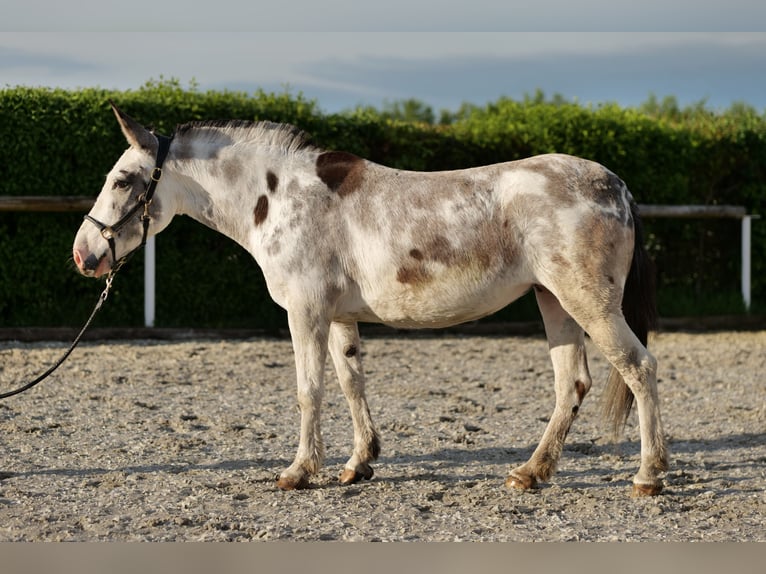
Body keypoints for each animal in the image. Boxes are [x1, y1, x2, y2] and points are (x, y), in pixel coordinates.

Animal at [75, 106, 668, 498]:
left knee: (638, 367)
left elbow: (309, 390)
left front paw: (298, 472)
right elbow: (350, 382)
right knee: (573, 383)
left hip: (588, 302)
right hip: (553, 301)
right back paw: (531, 473)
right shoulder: (339, 317)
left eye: (122, 179)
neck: (277, 197)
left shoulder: (306, 313)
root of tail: (616, 187)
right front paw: (358, 464)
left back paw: (648, 475)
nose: (85, 255)